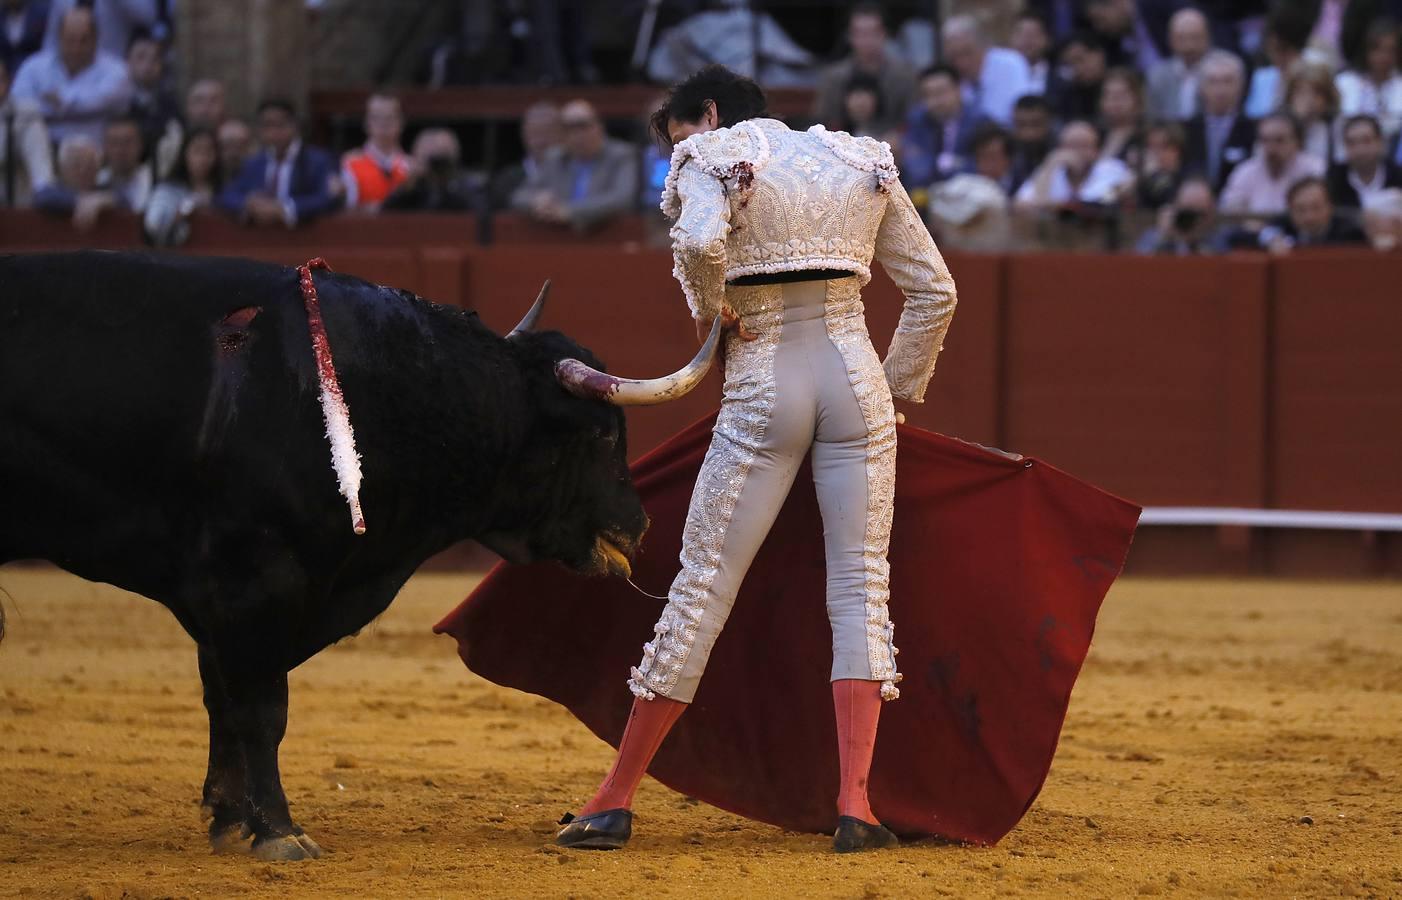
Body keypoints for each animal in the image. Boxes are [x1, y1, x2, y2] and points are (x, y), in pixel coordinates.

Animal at [0, 249, 653, 857]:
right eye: (602, 434)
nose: (638, 526)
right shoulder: (255, 577)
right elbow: (261, 707)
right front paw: (278, 832)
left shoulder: (224, 596)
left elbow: (222, 697)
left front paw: (229, 818)